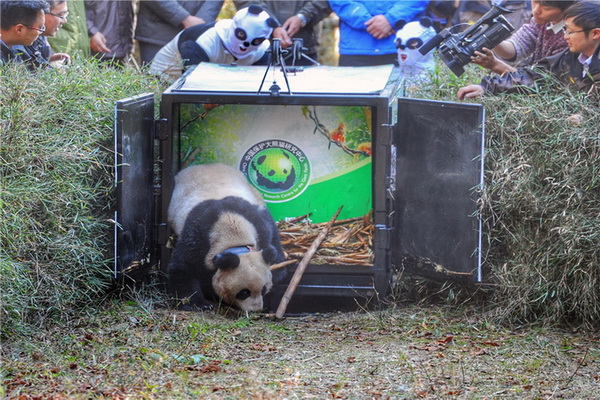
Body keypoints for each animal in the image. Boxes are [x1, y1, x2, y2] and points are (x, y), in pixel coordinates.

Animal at [165, 163, 284, 312]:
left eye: (263, 289)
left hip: (257, 199)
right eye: (244, 292)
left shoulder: (258, 224)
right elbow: (184, 267)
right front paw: (199, 304)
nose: (255, 310)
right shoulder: (197, 234)